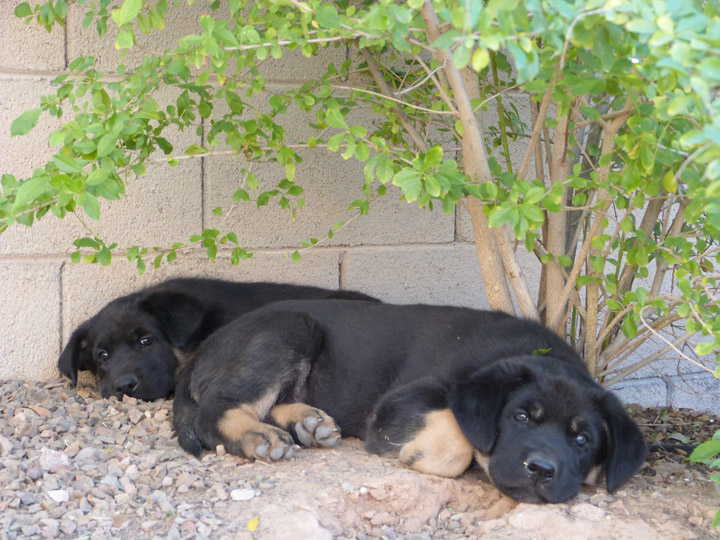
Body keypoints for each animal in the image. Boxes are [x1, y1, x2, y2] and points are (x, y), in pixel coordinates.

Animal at [174, 300, 648, 506]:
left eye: (583, 440)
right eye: (520, 417)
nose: (542, 470)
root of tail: (202, 349)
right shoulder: (398, 403)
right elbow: (457, 435)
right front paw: (421, 452)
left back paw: (307, 422)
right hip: (288, 328)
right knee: (214, 409)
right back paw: (258, 435)